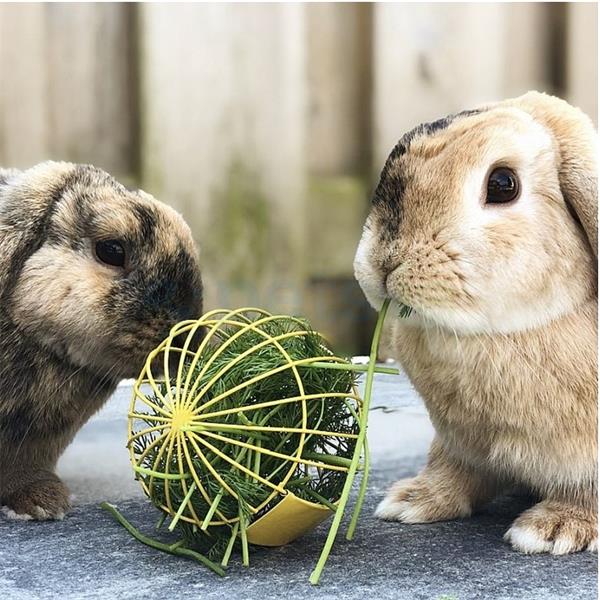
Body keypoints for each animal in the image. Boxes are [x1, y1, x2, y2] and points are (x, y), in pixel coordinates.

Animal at [354, 91, 597, 554]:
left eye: (503, 184)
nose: (386, 261)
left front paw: (554, 530)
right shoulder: (458, 442)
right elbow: (452, 470)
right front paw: (412, 501)